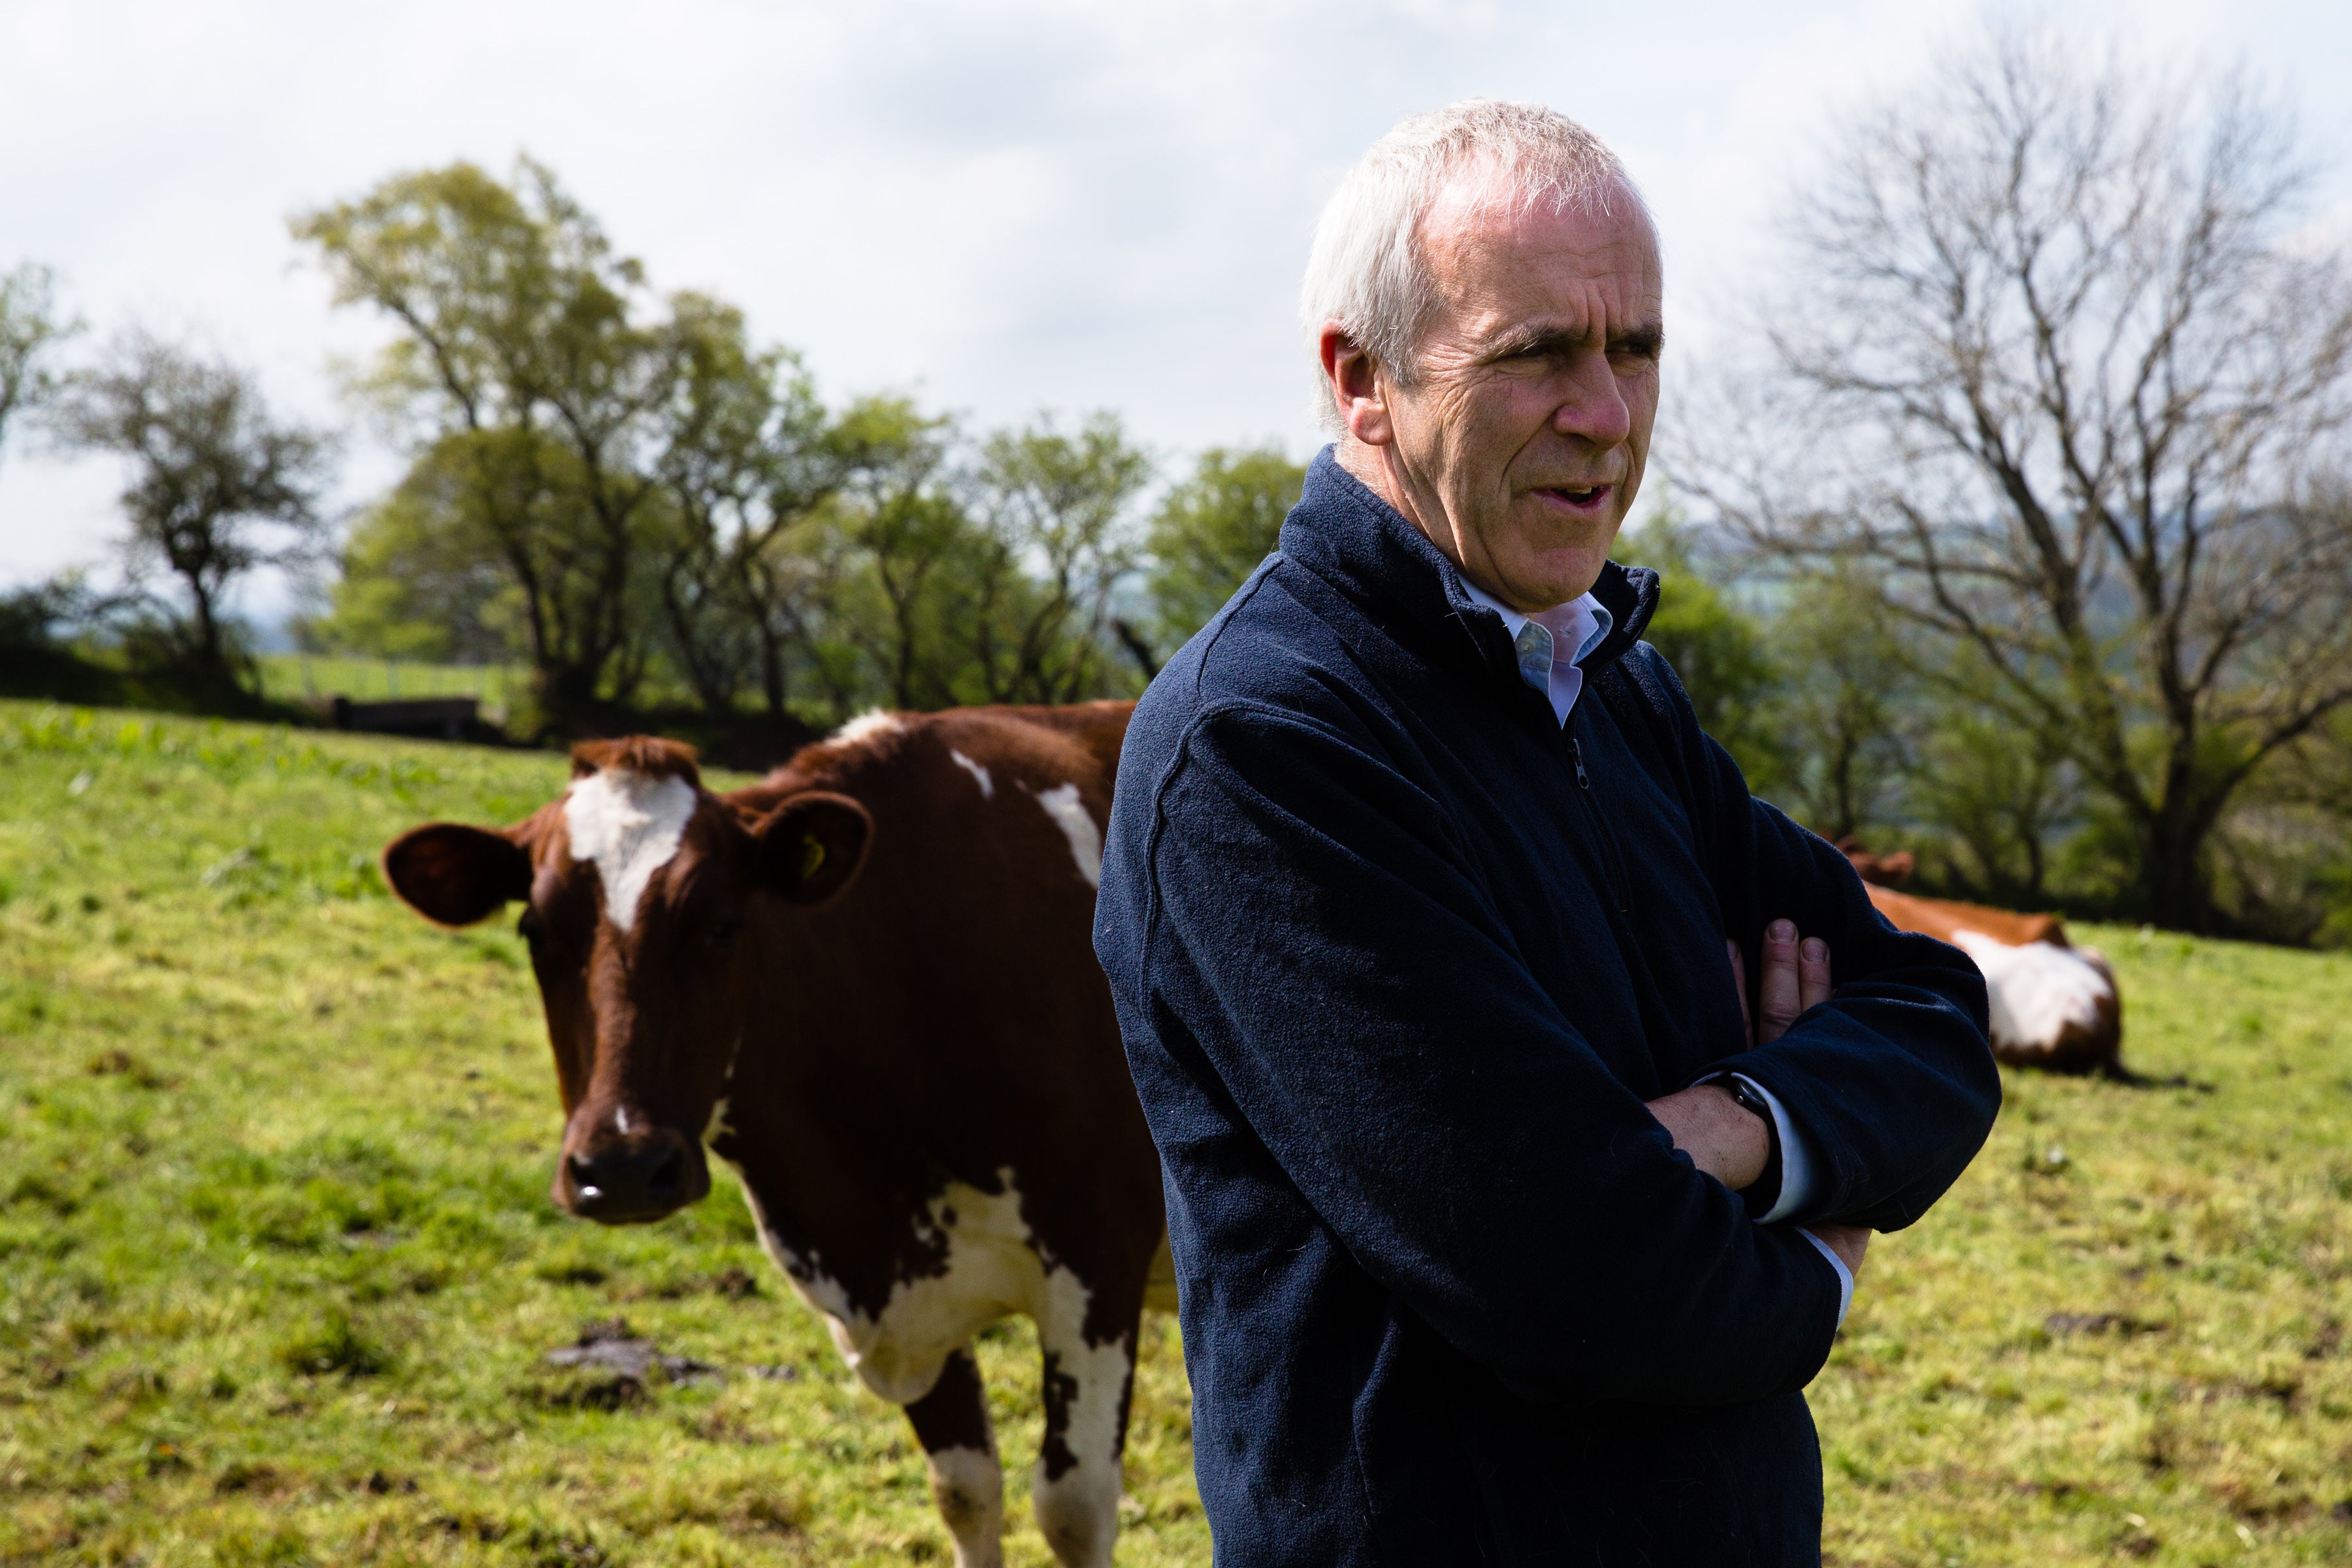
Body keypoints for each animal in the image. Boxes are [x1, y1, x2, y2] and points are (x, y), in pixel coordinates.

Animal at [378, 705, 1176, 1568]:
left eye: (723, 924)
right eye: (536, 931)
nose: (623, 1168)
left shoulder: (1096, 1263)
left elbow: (1073, 1509)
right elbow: (968, 1493)